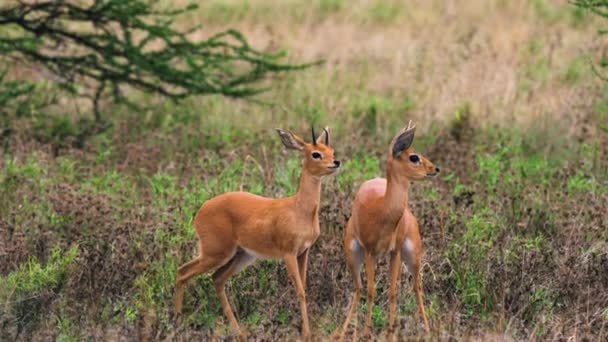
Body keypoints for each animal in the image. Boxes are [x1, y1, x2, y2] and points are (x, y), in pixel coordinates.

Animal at [173, 127, 340, 340]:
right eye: (315, 154)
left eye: (331, 150)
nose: (336, 162)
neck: (299, 209)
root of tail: (200, 212)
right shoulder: (288, 254)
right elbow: (300, 292)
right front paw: (307, 334)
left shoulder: (303, 252)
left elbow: (304, 289)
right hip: (215, 253)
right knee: (182, 272)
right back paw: (177, 323)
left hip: (242, 255)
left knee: (217, 279)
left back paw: (238, 332)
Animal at [340, 120, 440, 340]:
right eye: (413, 157)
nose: (435, 168)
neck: (382, 211)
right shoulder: (370, 252)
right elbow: (371, 291)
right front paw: (367, 332)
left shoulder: (395, 252)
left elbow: (393, 292)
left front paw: (390, 333)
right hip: (354, 254)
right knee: (359, 288)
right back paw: (341, 332)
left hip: (412, 253)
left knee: (416, 286)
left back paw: (428, 330)